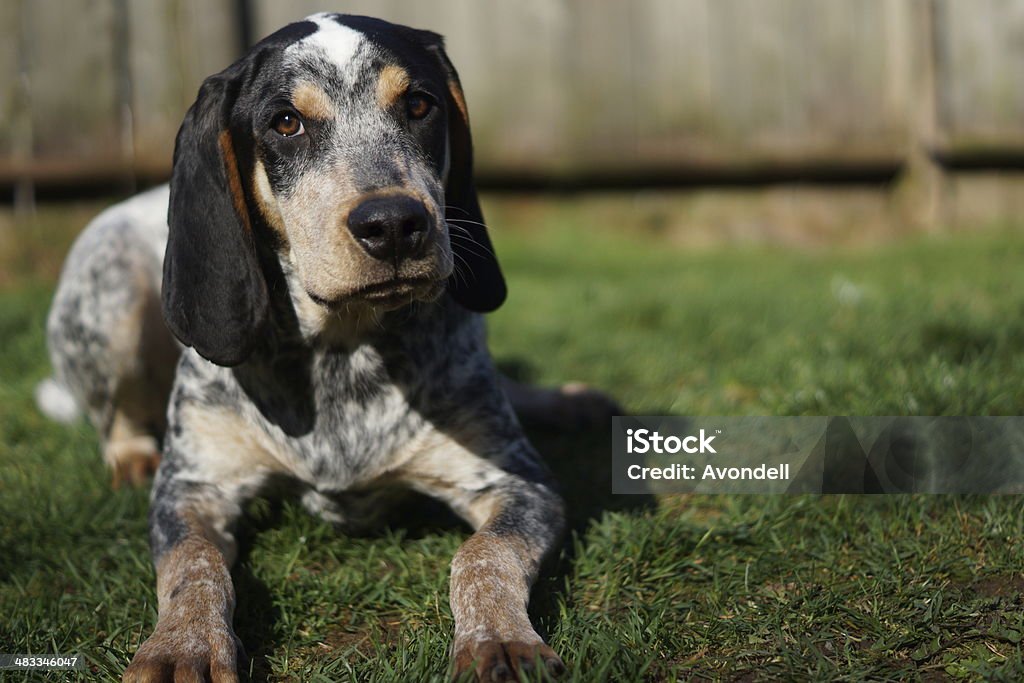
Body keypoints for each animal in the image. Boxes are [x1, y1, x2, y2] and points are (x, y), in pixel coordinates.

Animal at [37, 13, 614, 679]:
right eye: (286, 122)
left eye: (420, 104)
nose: (394, 224)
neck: (343, 347)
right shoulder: (192, 490)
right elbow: (194, 568)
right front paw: (183, 645)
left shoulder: (520, 484)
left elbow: (482, 557)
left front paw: (500, 639)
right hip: (107, 293)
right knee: (116, 417)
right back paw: (131, 456)